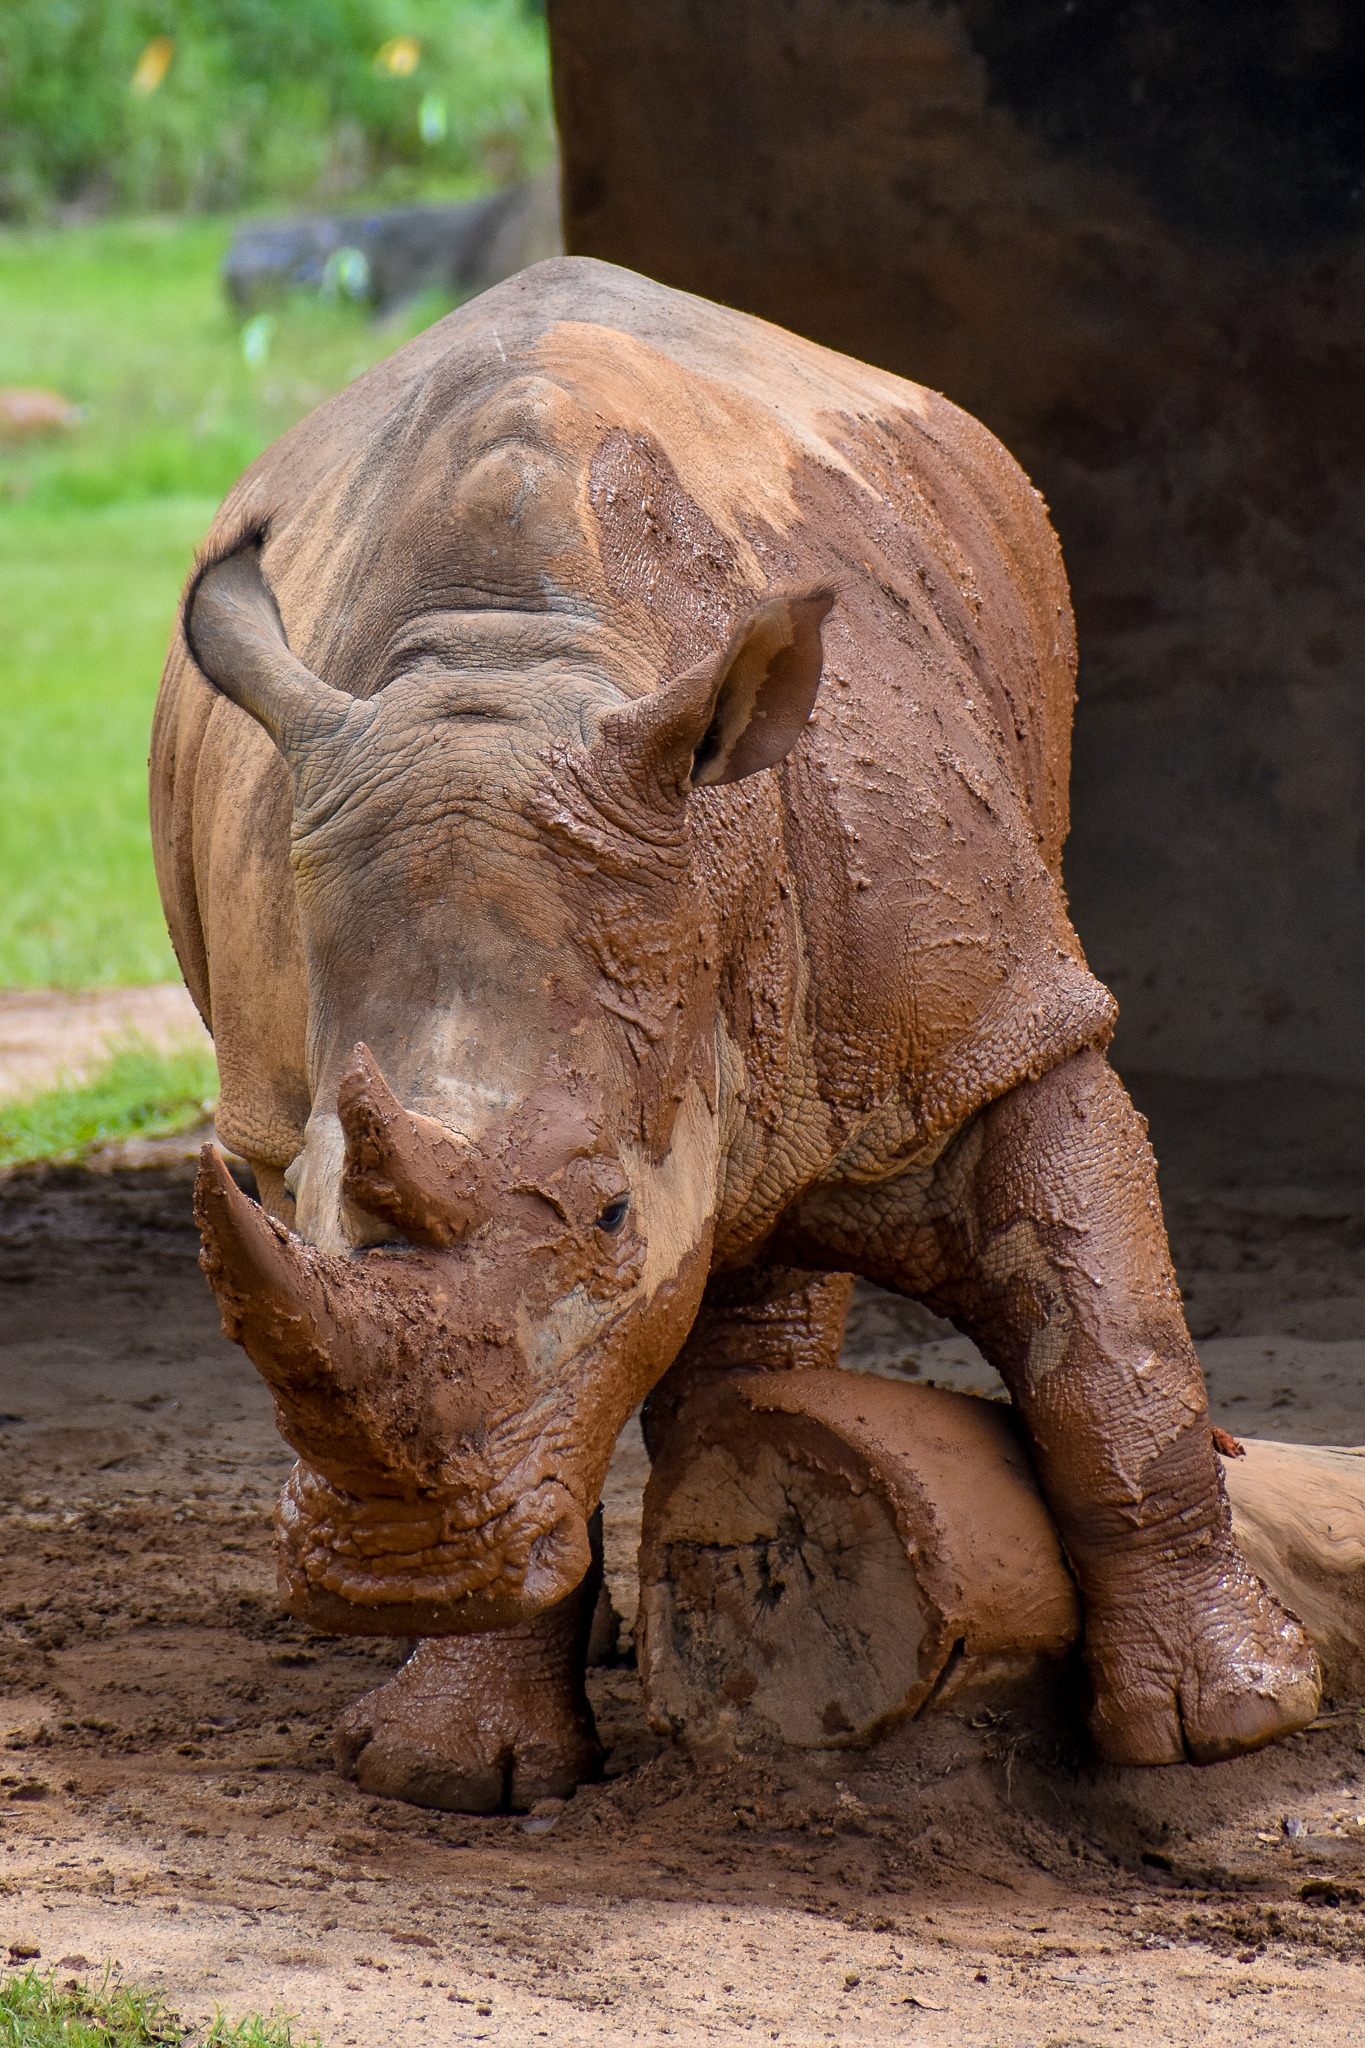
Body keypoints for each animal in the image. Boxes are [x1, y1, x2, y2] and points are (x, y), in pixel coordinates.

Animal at [151, 256, 1319, 1811]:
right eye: (308, 1206)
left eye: (606, 1215)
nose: (392, 1568)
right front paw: (443, 1767)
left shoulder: (998, 1024)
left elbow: (1110, 1348)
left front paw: (1229, 1724)